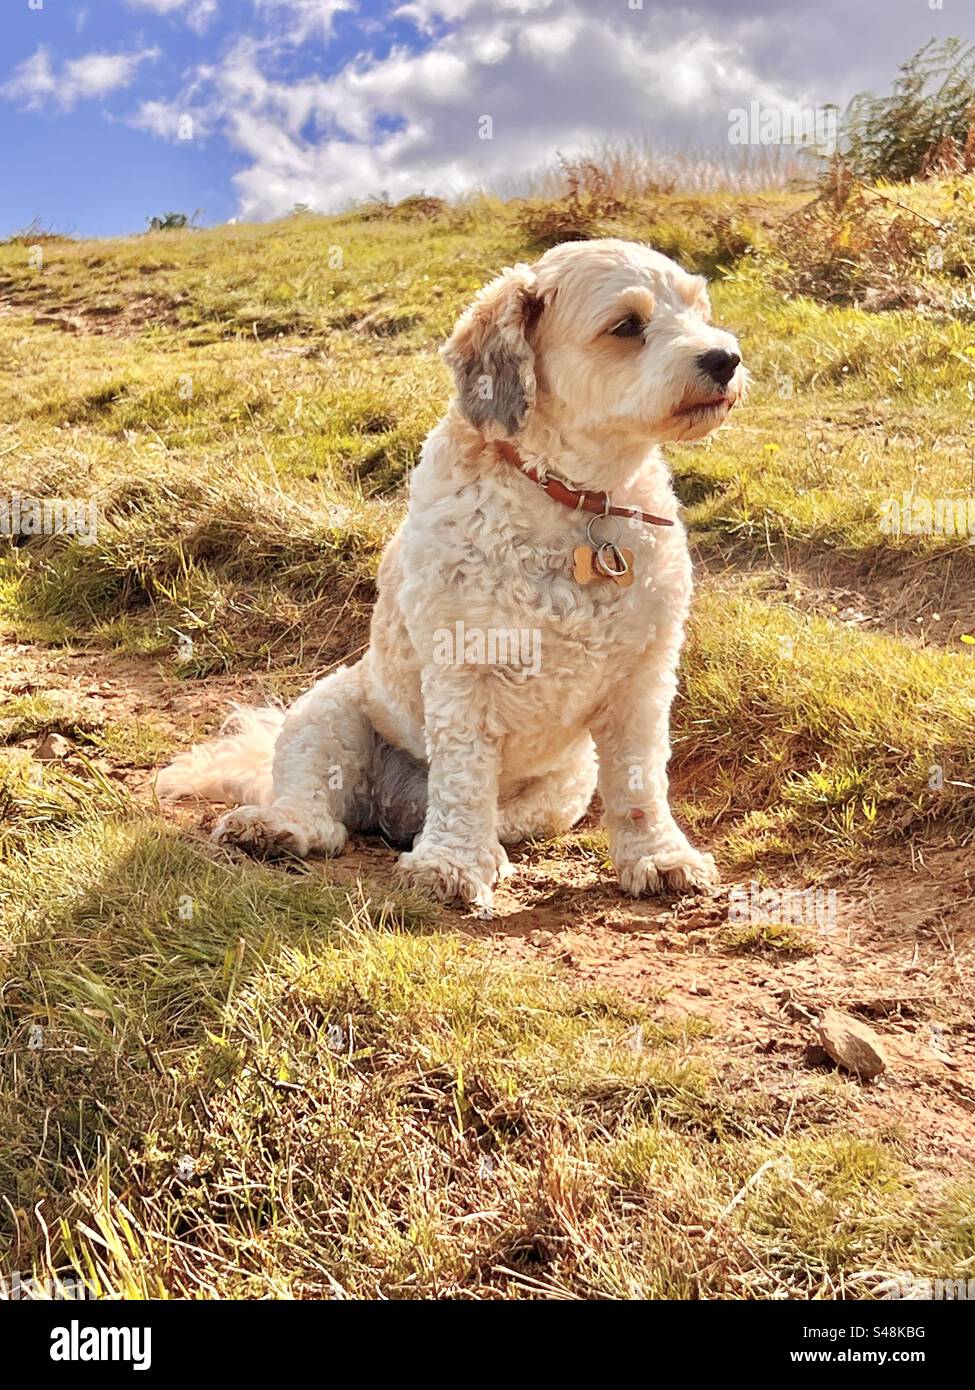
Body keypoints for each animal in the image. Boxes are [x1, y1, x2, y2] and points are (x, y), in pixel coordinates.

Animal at [159, 239, 751, 911]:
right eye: (626, 325)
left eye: (699, 309)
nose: (725, 358)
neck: (575, 499)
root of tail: (398, 810)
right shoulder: (463, 670)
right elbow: (465, 776)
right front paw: (451, 864)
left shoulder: (642, 679)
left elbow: (639, 782)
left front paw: (658, 856)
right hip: (326, 713)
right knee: (322, 808)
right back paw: (284, 827)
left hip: (559, 791)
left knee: (501, 817)